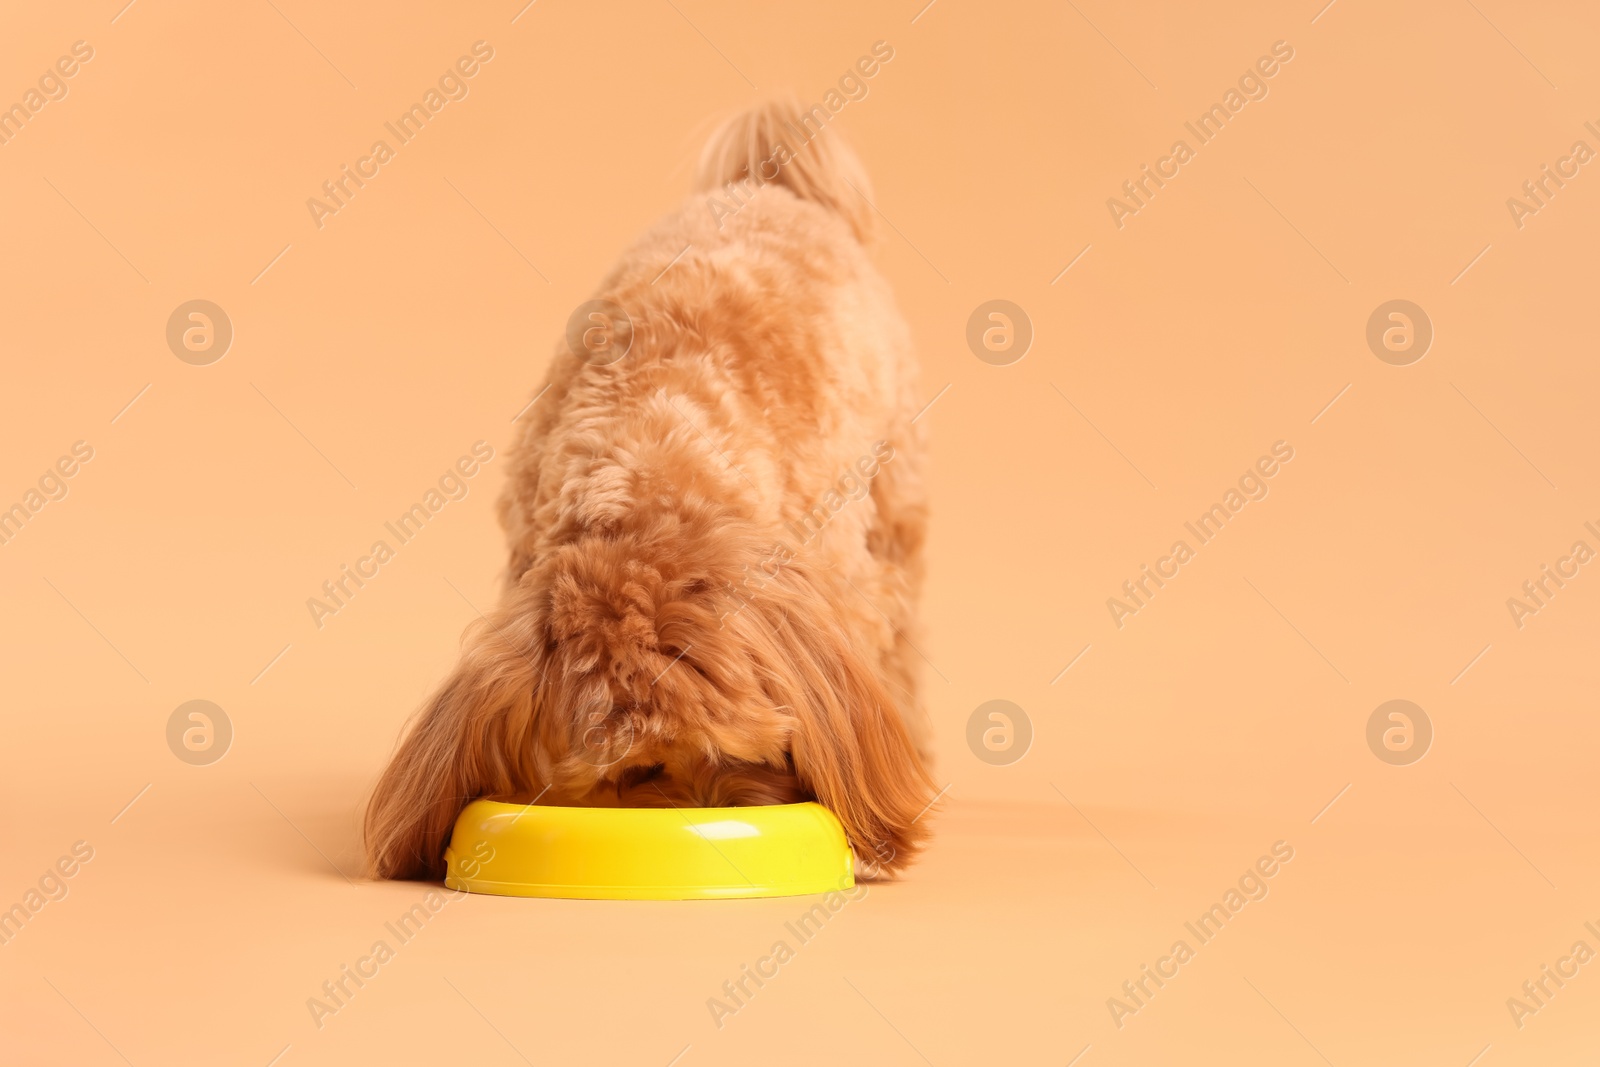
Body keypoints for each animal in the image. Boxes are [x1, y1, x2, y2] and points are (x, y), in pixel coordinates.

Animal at [366, 99, 934, 883]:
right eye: (637, 774)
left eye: (749, 753)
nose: (710, 823)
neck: (647, 471)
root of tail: (768, 187)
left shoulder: (836, 580)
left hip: (893, 501)